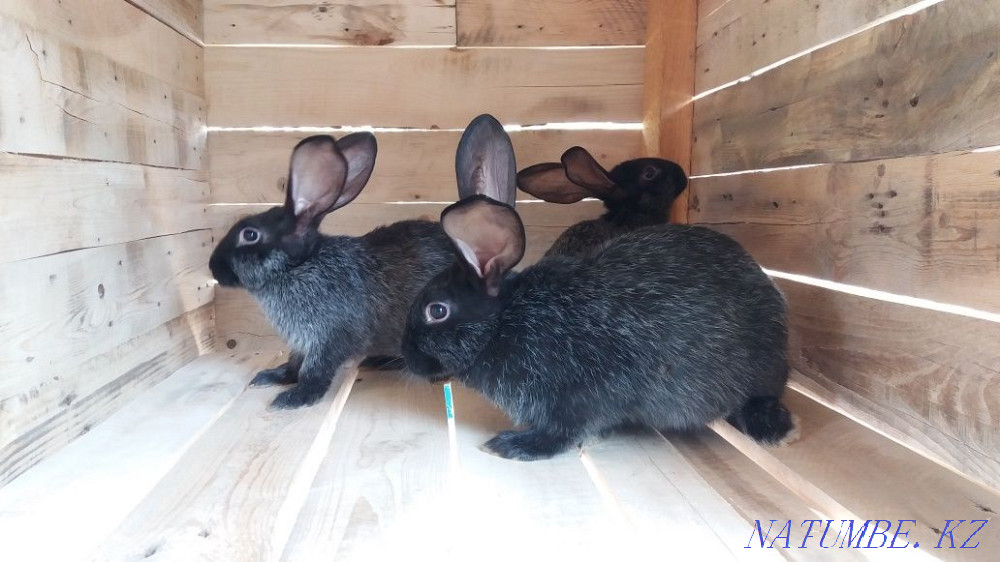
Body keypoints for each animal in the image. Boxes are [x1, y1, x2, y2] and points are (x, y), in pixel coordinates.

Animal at [209, 133, 455, 409]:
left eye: (250, 234)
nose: (213, 268)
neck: (298, 266)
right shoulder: (301, 342)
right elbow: (294, 364)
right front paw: (273, 376)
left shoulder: (331, 337)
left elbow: (315, 370)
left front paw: (295, 397)